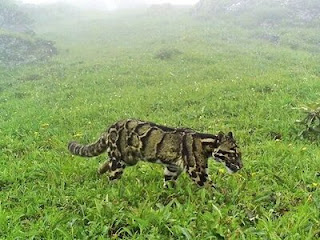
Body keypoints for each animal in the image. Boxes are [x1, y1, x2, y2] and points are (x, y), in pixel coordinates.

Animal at [68, 119, 242, 188]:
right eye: (233, 153)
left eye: (239, 154)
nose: (241, 166)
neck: (207, 144)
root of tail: (111, 126)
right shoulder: (197, 172)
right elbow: (212, 188)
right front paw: (224, 201)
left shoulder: (172, 168)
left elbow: (168, 183)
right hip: (119, 162)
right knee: (112, 177)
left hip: (128, 158)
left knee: (106, 162)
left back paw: (99, 170)